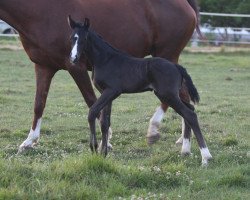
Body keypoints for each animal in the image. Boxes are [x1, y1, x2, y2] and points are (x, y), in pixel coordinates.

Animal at [0, 0, 201, 155]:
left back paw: (161, 134)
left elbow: (92, 102)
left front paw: (107, 141)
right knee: (185, 101)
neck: (40, 12)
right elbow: (39, 104)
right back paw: (183, 142)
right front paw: (28, 142)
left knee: (177, 101)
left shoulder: (76, 67)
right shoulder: (44, 67)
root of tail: (185, 4)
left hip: (167, 55)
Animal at [69, 17, 213, 165]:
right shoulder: (106, 93)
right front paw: (103, 153)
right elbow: (105, 122)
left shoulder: (112, 91)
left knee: (190, 114)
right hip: (170, 95)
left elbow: (92, 112)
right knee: (190, 109)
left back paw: (205, 157)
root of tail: (176, 66)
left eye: (84, 38)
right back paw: (186, 150)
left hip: (167, 95)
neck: (105, 59)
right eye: (72, 38)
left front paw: (94, 147)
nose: (73, 58)